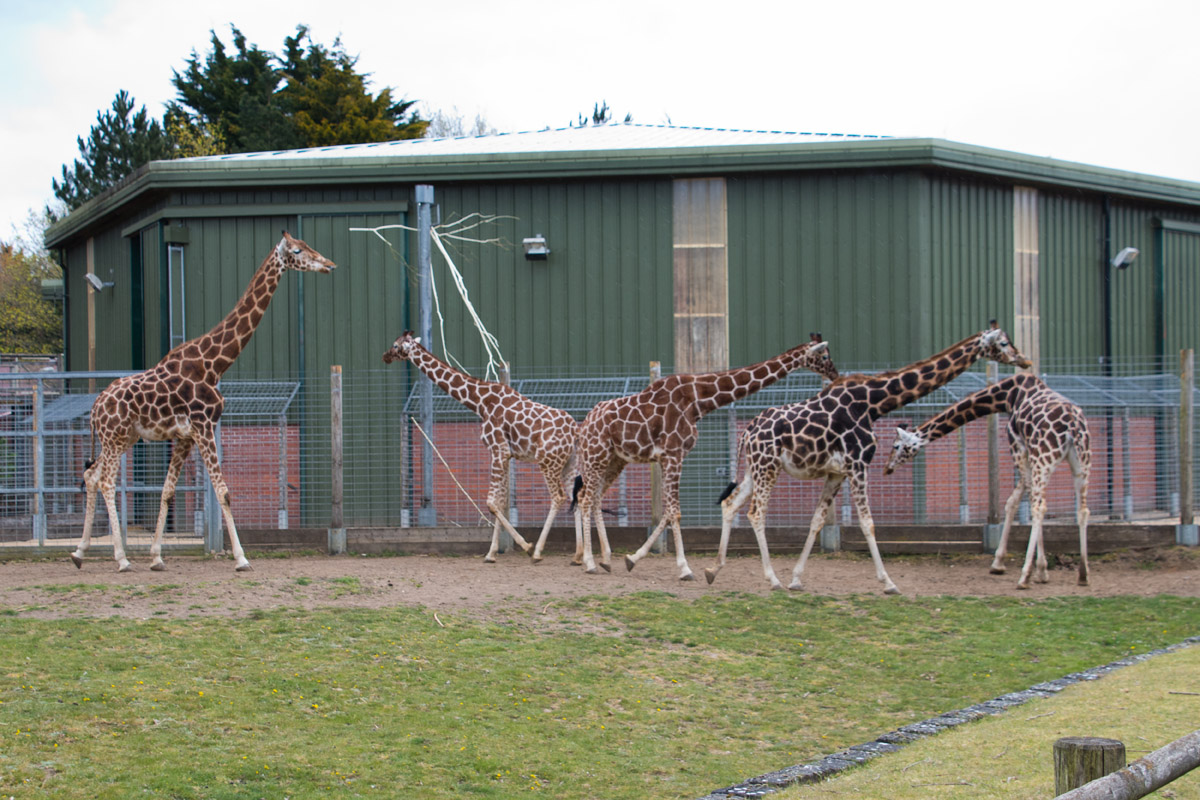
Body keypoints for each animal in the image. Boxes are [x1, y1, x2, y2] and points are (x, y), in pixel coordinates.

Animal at [72, 232, 335, 572]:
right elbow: (223, 493)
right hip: (114, 438)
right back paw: (121, 558)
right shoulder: (204, 426)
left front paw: (157, 558)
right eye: (297, 250)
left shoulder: (185, 436)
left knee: (91, 476)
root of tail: (95, 408)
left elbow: (168, 491)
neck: (214, 363)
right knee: (104, 481)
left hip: (122, 438)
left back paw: (79, 553)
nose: (329, 264)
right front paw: (242, 558)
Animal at [383, 332, 581, 563]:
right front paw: (491, 553)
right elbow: (500, 502)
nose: (385, 356)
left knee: (558, 497)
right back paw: (579, 556)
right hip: (568, 463)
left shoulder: (499, 449)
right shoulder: (505, 454)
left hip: (549, 462)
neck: (479, 402)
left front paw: (525, 545)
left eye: (396, 345)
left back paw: (538, 552)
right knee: (576, 496)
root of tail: (575, 432)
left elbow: (492, 503)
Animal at [572, 335, 838, 579]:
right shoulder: (674, 455)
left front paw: (632, 558)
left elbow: (668, 512)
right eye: (825, 356)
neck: (698, 400)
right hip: (596, 456)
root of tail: (585, 424)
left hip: (615, 460)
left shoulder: (670, 458)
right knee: (585, 499)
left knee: (593, 498)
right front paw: (685, 568)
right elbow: (675, 512)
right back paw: (590, 563)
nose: (835, 374)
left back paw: (606, 559)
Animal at [706, 322, 1031, 594]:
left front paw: (797, 579)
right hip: (768, 467)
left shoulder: (837, 472)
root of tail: (747, 432)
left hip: (755, 469)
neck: (874, 403)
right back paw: (772, 579)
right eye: (1004, 343)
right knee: (755, 512)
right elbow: (867, 523)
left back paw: (714, 569)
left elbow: (817, 521)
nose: (1025, 360)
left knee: (731, 503)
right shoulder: (859, 465)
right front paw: (889, 582)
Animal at [883, 372, 1090, 589]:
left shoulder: (1019, 447)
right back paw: (1083, 575)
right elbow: (1012, 501)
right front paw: (1007, 564)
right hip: (1080, 461)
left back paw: (1024, 577)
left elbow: (1022, 502)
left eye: (896, 446)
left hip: (1045, 458)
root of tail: (1073, 426)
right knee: (1082, 510)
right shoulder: (1028, 454)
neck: (1007, 396)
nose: (887, 468)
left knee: (1040, 507)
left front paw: (1036, 570)